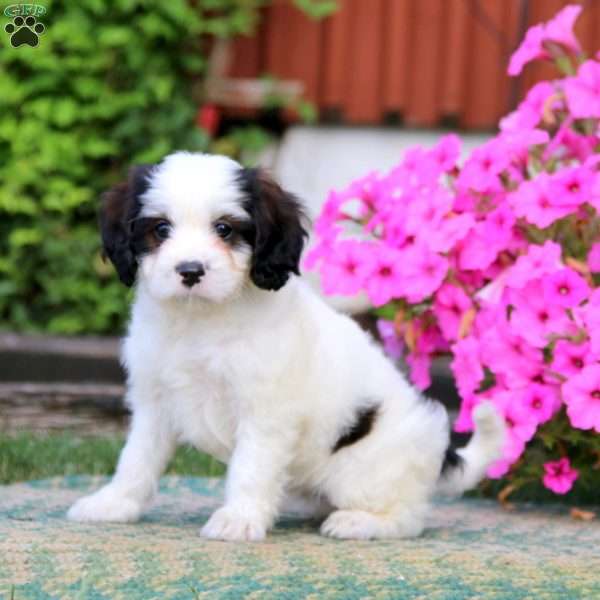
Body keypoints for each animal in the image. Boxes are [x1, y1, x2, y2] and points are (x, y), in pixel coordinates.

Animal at [68, 152, 504, 540]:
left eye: (224, 229)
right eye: (160, 229)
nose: (190, 271)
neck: (201, 320)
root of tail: (439, 453)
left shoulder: (265, 411)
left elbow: (250, 467)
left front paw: (238, 520)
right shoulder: (154, 402)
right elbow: (136, 459)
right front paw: (113, 504)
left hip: (364, 470)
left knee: (408, 518)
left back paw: (359, 523)